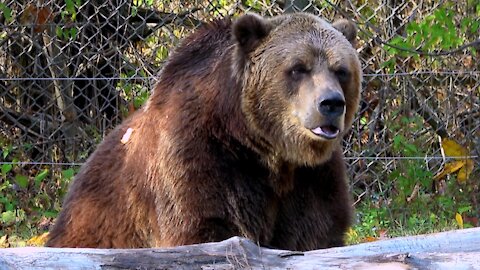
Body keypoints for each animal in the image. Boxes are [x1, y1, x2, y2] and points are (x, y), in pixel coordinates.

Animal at [47, 11, 362, 251]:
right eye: (298, 68)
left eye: (341, 70)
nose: (331, 103)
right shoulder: (199, 155)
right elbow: (202, 225)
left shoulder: (312, 178)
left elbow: (315, 232)